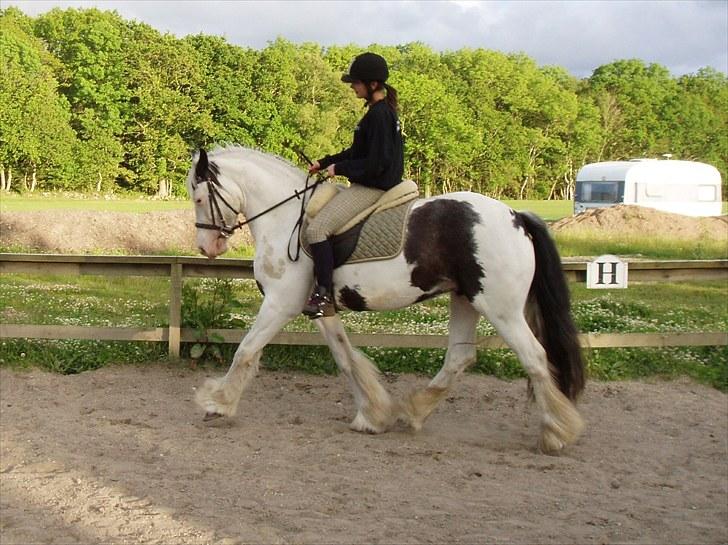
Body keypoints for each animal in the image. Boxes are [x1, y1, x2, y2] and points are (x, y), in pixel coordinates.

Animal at [188, 143, 584, 450]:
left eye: (199, 197)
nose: (207, 247)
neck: (287, 218)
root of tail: (515, 214)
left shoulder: (279, 304)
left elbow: (245, 350)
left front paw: (216, 403)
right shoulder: (321, 309)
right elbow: (346, 358)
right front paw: (373, 415)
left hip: (501, 309)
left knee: (534, 357)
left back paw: (556, 433)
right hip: (465, 300)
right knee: (460, 358)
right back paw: (414, 410)